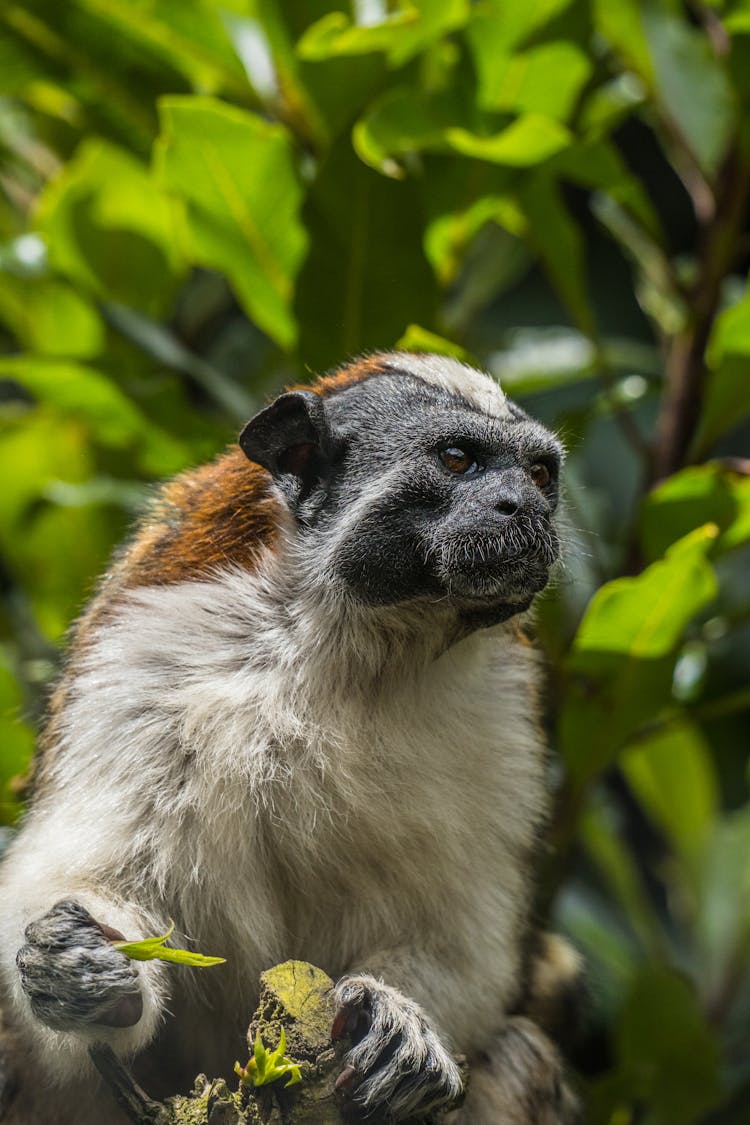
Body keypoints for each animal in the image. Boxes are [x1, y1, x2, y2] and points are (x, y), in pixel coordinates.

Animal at [0, 353, 580, 1125]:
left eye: (540, 474)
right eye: (458, 459)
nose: (527, 508)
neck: (355, 645)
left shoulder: (505, 718)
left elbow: (466, 950)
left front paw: (401, 1025)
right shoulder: (141, 668)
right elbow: (87, 883)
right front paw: (81, 977)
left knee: (521, 1053)